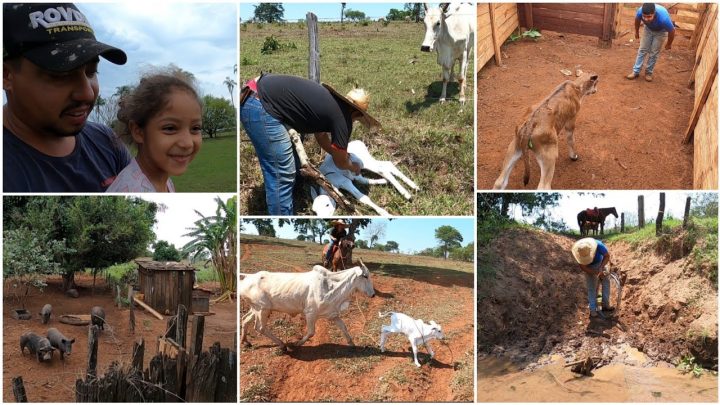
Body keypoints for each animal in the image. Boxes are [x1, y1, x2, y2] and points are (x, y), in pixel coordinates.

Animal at [242, 258, 376, 350]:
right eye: (365, 276)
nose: (373, 294)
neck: (332, 287)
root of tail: (249, 277)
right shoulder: (310, 313)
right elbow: (311, 332)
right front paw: (297, 343)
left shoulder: (332, 314)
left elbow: (344, 328)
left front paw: (352, 344)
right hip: (263, 309)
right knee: (260, 328)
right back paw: (282, 344)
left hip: (256, 308)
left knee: (245, 320)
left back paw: (245, 341)